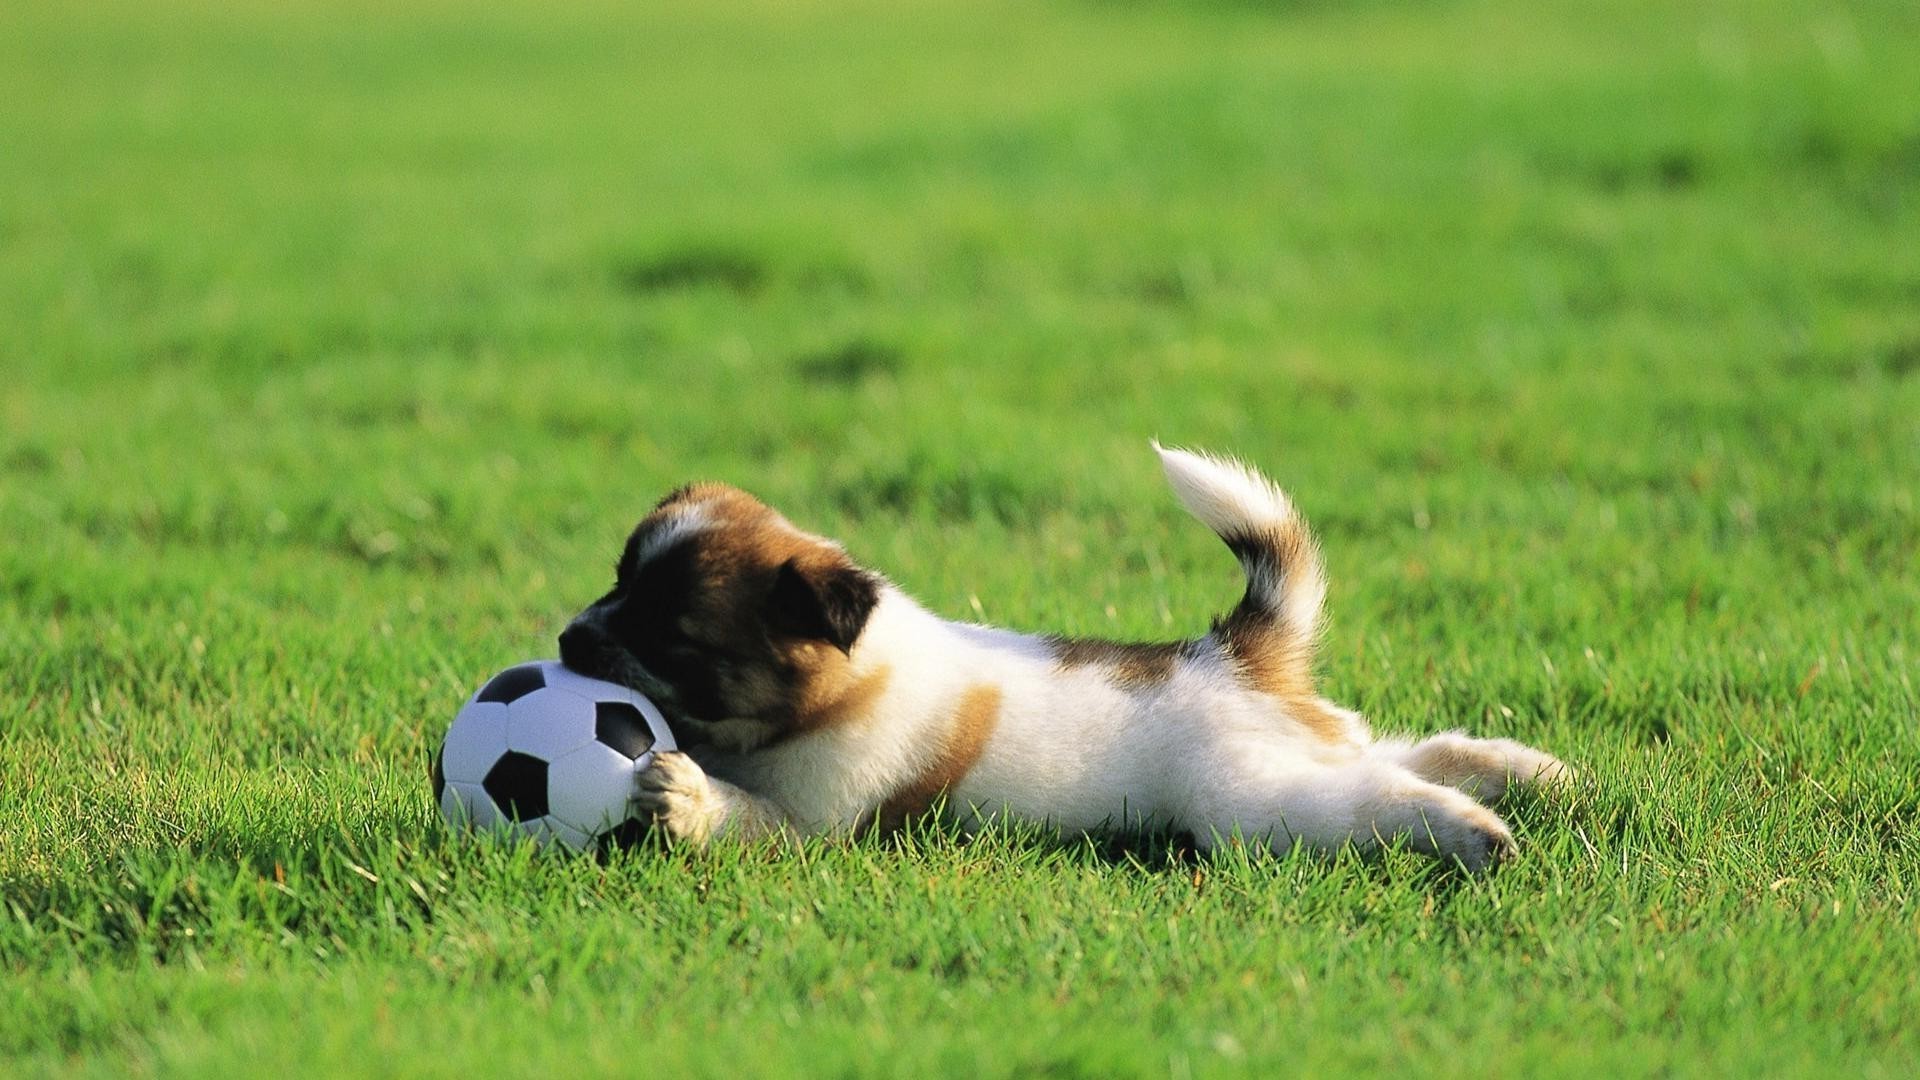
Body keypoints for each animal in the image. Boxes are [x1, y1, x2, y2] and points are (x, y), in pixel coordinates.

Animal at [552, 441, 1559, 868]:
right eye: (615, 581)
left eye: (673, 637)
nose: (565, 639)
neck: (841, 682)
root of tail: (1232, 655)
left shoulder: (816, 822)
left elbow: (741, 813)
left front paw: (683, 797)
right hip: (1302, 746)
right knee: (1403, 751)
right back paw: (1531, 774)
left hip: (1249, 800)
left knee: (1376, 795)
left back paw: (1476, 830)